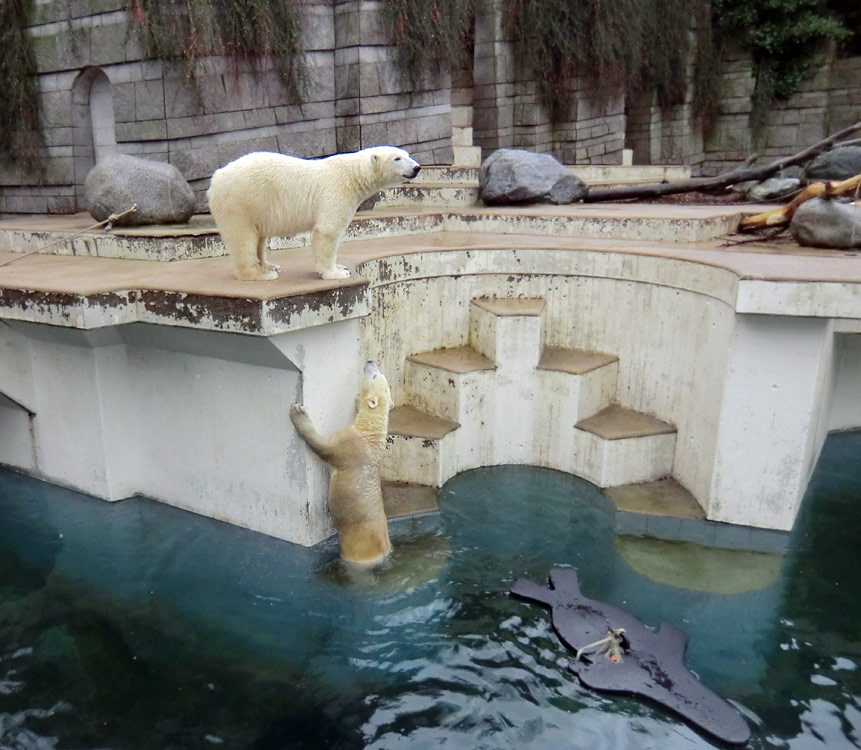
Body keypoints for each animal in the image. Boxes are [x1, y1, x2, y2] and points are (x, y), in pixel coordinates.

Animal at [206, 147, 420, 282]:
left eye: (407, 154)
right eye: (397, 158)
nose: (417, 167)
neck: (353, 175)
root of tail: (215, 178)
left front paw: (340, 267)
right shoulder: (336, 191)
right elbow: (329, 230)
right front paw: (335, 273)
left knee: (258, 237)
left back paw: (269, 266)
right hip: (241, 201)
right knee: (243, 238)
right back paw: (260, 274)